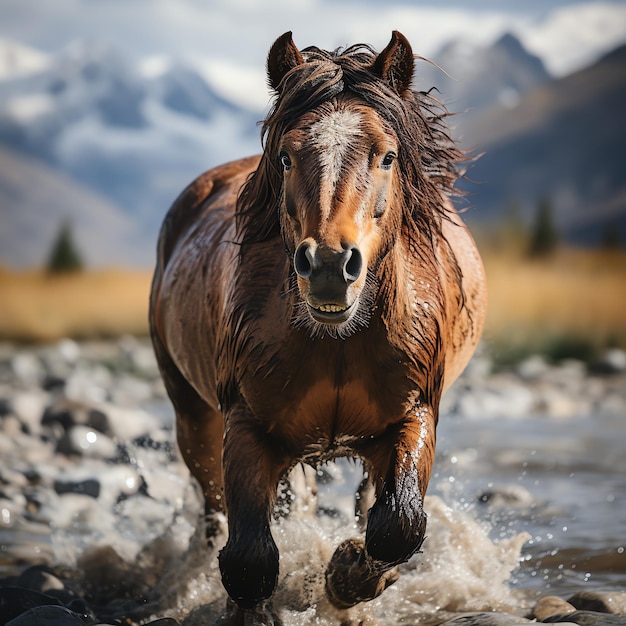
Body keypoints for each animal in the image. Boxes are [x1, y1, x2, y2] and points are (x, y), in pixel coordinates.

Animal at [149, 30, 486, 616]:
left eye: (388, 156)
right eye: (285, 156)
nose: (329, 266)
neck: (338, 342)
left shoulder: (414, 414)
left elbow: (398, 524)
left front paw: (348, 576)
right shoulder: (245, 423)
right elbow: (249, 559)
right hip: (192, 413)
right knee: (215, 513)